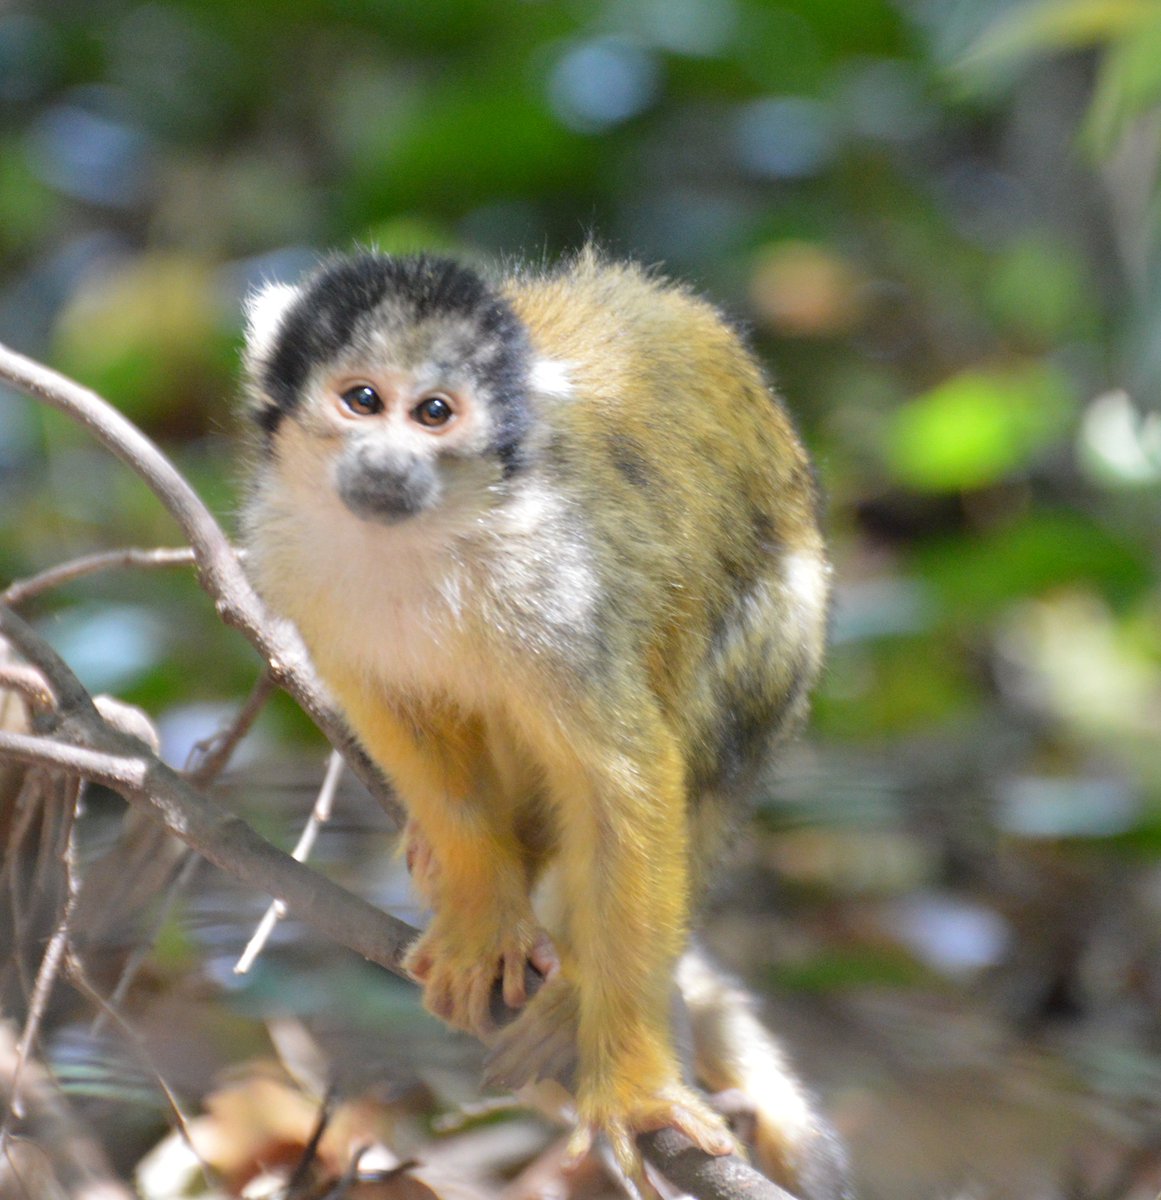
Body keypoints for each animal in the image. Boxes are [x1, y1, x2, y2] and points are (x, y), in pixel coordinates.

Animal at [239, 248, 849, 1195]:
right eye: (362, 400)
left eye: (435, 413)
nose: (388, 462)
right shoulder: (292, 554)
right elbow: (395, 707)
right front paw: (483, 900)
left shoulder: (558, 579)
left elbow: (621, 781)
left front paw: (631, 1079)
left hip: (785, 636)